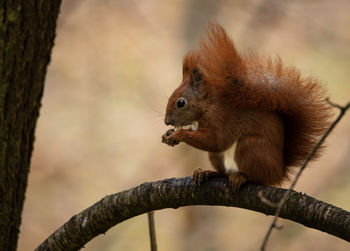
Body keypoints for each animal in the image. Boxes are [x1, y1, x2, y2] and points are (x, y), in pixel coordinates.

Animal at [161, 23, 330, 189]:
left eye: (181, 103)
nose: (166, 121)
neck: (207, 107)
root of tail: (279, 172)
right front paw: (167, 135)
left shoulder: (221, 120)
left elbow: (216, 141)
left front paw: (178, 135)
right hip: (218, 157)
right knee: (223, 172)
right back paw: (207, 173)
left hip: (251, 147)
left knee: (259, 177)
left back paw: (241, 177)